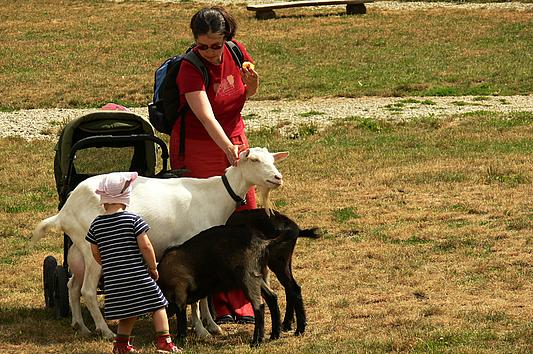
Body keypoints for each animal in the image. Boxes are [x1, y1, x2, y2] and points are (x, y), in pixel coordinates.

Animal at [31, 147, 288, 340]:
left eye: (272, 160)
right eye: (254, 160)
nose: (278, 178)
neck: (215, 196)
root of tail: (65, 210)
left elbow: (205, 294)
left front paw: (212, 326)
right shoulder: (191, 248)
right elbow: (197, 298)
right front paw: (202, 329)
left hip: (78, 249)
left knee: (72, 285)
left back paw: (80, 326)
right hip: (94, 251)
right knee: (87, 290)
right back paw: (105, 331)